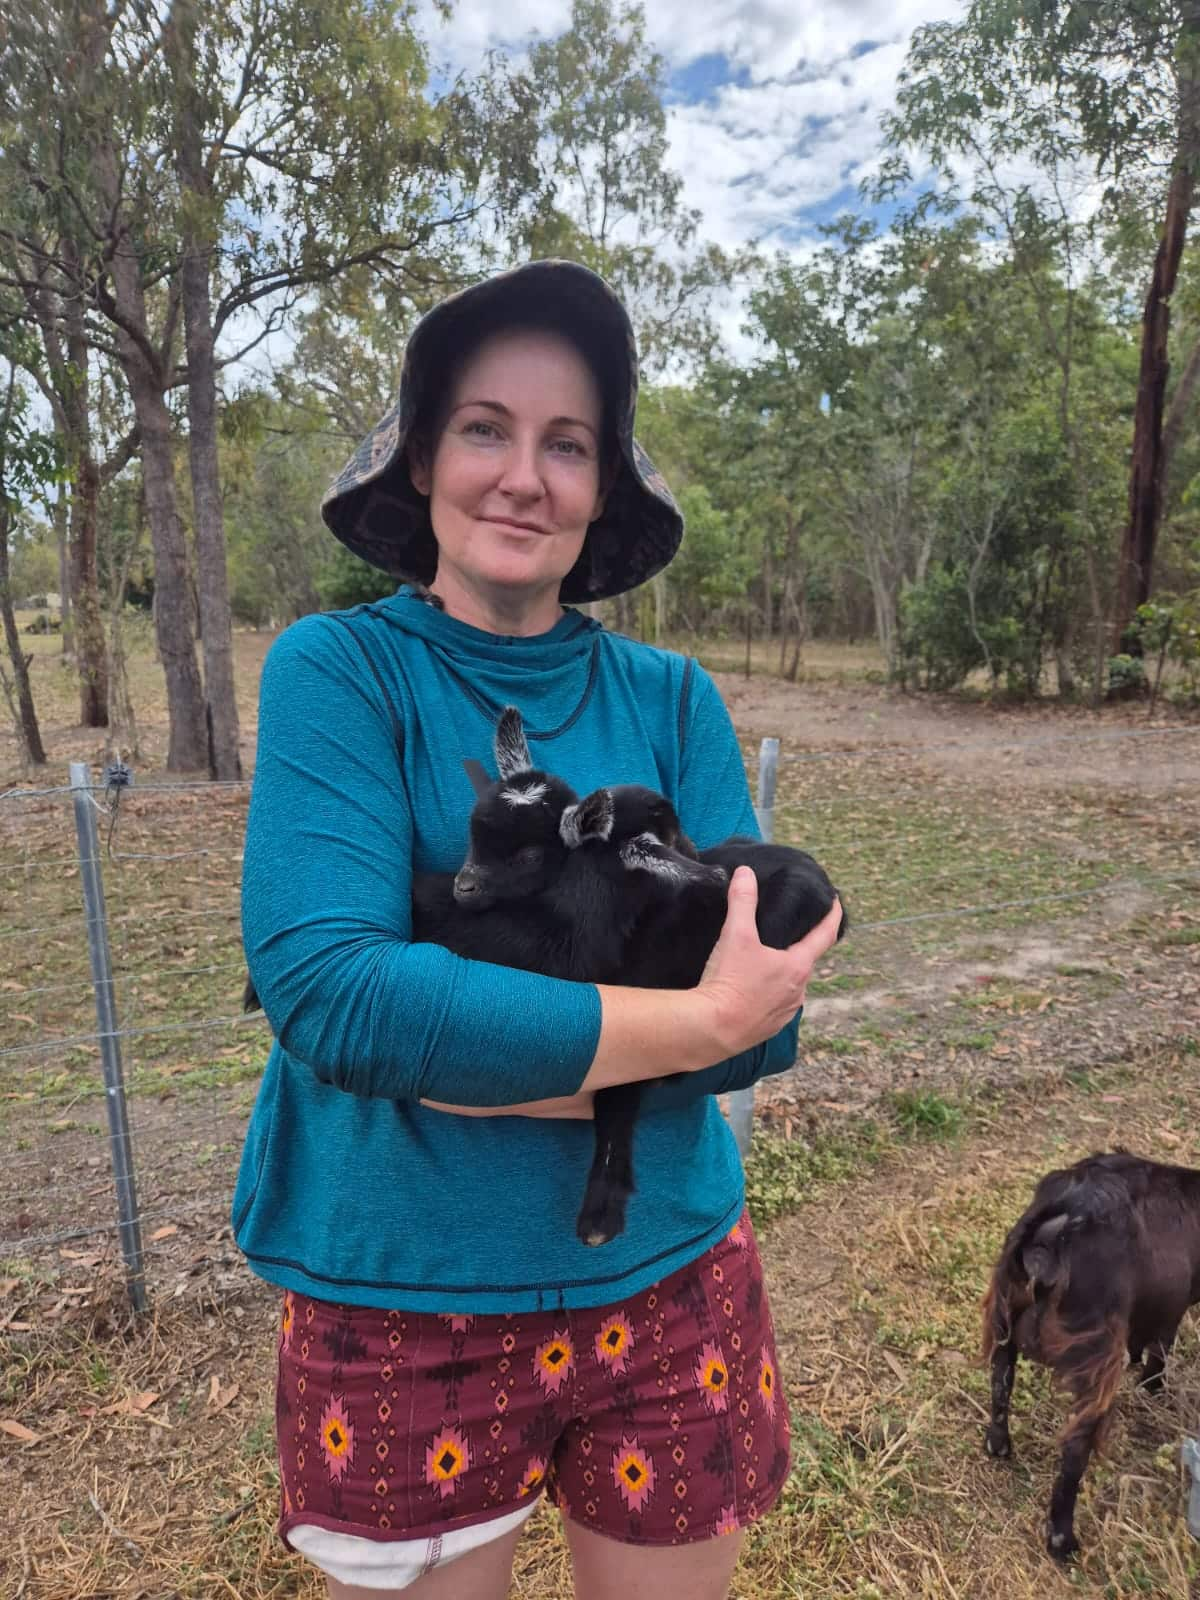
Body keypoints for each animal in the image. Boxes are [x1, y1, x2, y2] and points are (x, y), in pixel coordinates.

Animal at [979, 1152, 1200, 1561]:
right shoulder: (1169, 1310)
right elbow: (1160, 1351)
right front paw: (1153, 1389)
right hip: (1096, 1363)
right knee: (1074, 1451)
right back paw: (1062, 1542)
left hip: (1003, 1320)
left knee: (1001, 1381)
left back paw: (998, 1446)